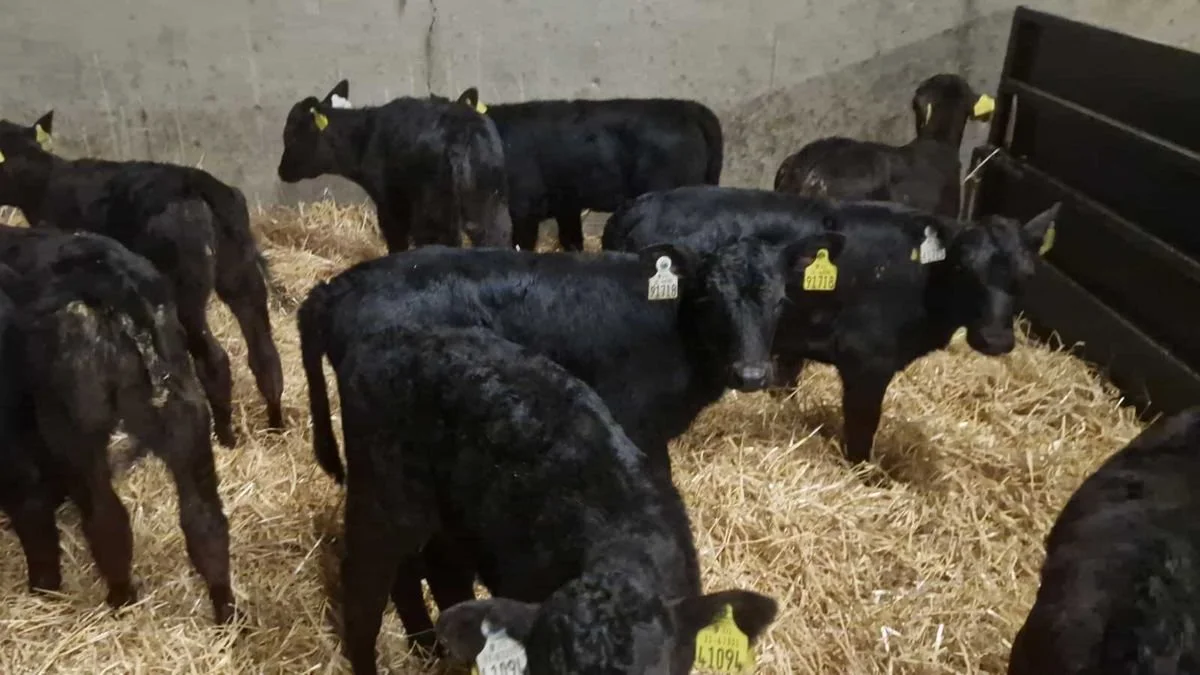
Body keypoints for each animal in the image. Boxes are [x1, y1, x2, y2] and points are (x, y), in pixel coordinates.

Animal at [0, 113, 284, 446]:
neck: (44, 182)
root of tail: (201, 187)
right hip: (241, 275)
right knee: (265, 355)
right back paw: (277, 428)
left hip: (187, 293)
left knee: (214, 360)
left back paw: (225, 437)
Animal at [0, 225, 234, 624]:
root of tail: (120, 289)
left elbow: (32, 510)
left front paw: (43, 589)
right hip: (186, 418)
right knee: (205, 523)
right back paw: (227, 615)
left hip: (79, 434)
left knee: (107, 520)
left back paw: (119, 600)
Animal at [277, 80, 513, 253]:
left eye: (291, 136)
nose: (281, 171)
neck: (364, 136)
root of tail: (462, 135)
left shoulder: (389, 206)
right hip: (491, 208)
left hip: (433, 212)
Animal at [604, 185, 1059, 465]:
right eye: (965, 267)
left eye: (1027, 274)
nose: (995, 339)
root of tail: (635, 207)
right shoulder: (867, 361)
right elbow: (861, 428)